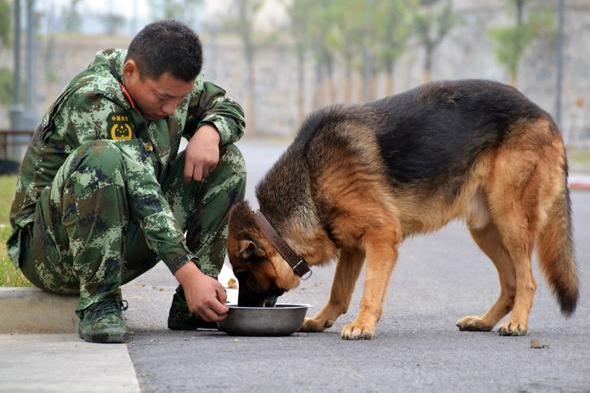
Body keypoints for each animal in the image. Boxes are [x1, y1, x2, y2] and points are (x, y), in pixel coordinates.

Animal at [229, 79, 580, 336]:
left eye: (244, 275)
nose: (237, 310)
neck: (310, 178)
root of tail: (546, 116)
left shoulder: (382, 236)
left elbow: (370, 289)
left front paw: (363, 325)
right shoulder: (353, 247)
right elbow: (339, 292)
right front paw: (322, 319)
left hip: (510, 220)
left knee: (527, 281)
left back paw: (516, 323)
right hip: (485, 230)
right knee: (510, 283)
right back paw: (484, 321)